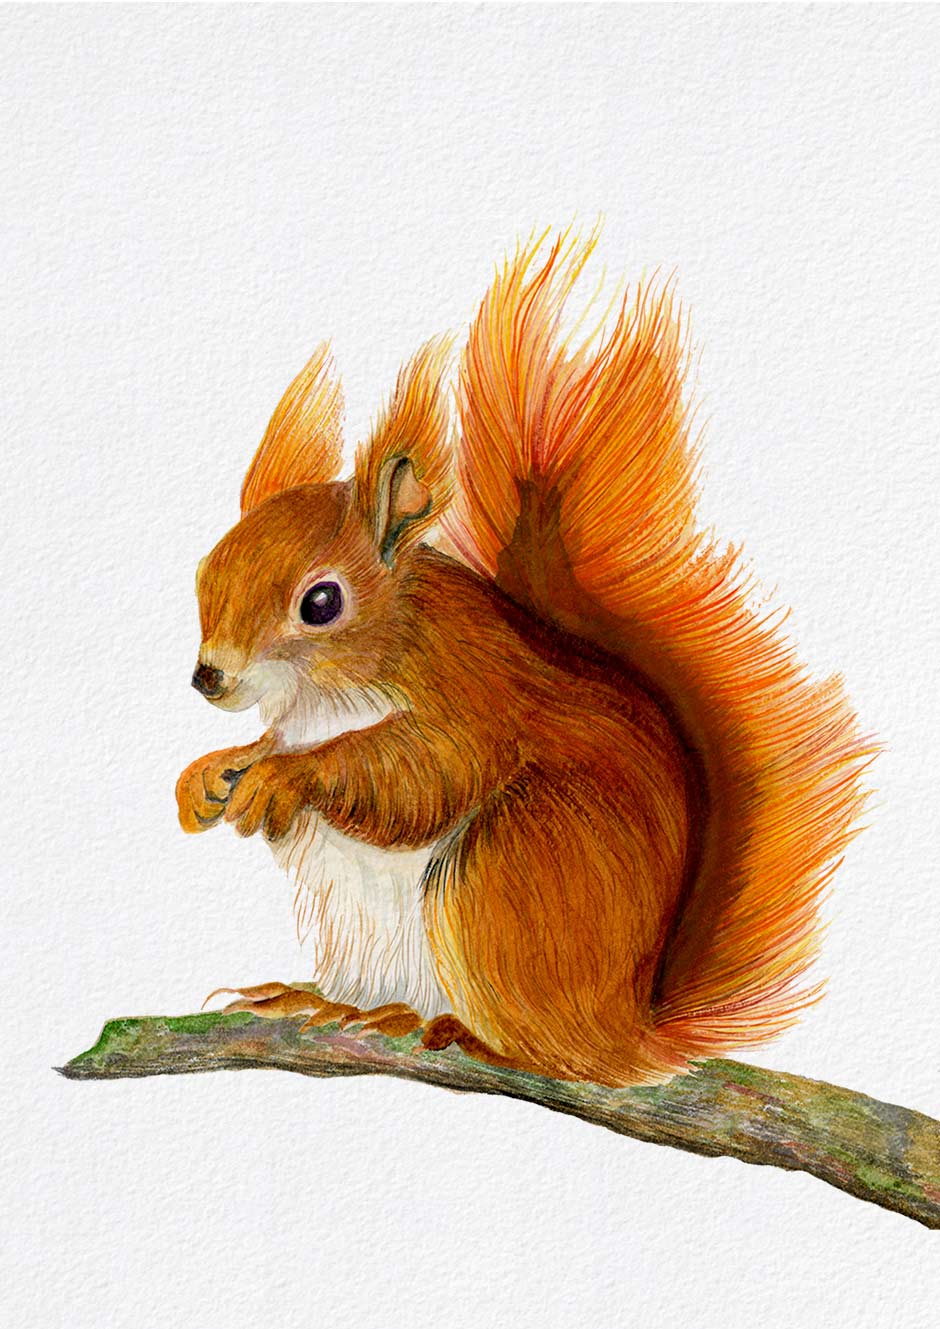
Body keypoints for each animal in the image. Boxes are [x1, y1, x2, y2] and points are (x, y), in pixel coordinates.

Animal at [176, 232, 872, 1086]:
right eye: (206, 571)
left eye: (321, 602)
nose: (209, 676)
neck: (329, 694)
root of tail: (627, 1029)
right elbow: (266, 746)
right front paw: (208, 775)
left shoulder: (471, 698)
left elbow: (422, 776)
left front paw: (288, 776)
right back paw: (330, 1002)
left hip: (507, 869)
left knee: (554, 1053)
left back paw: (463, 1033)